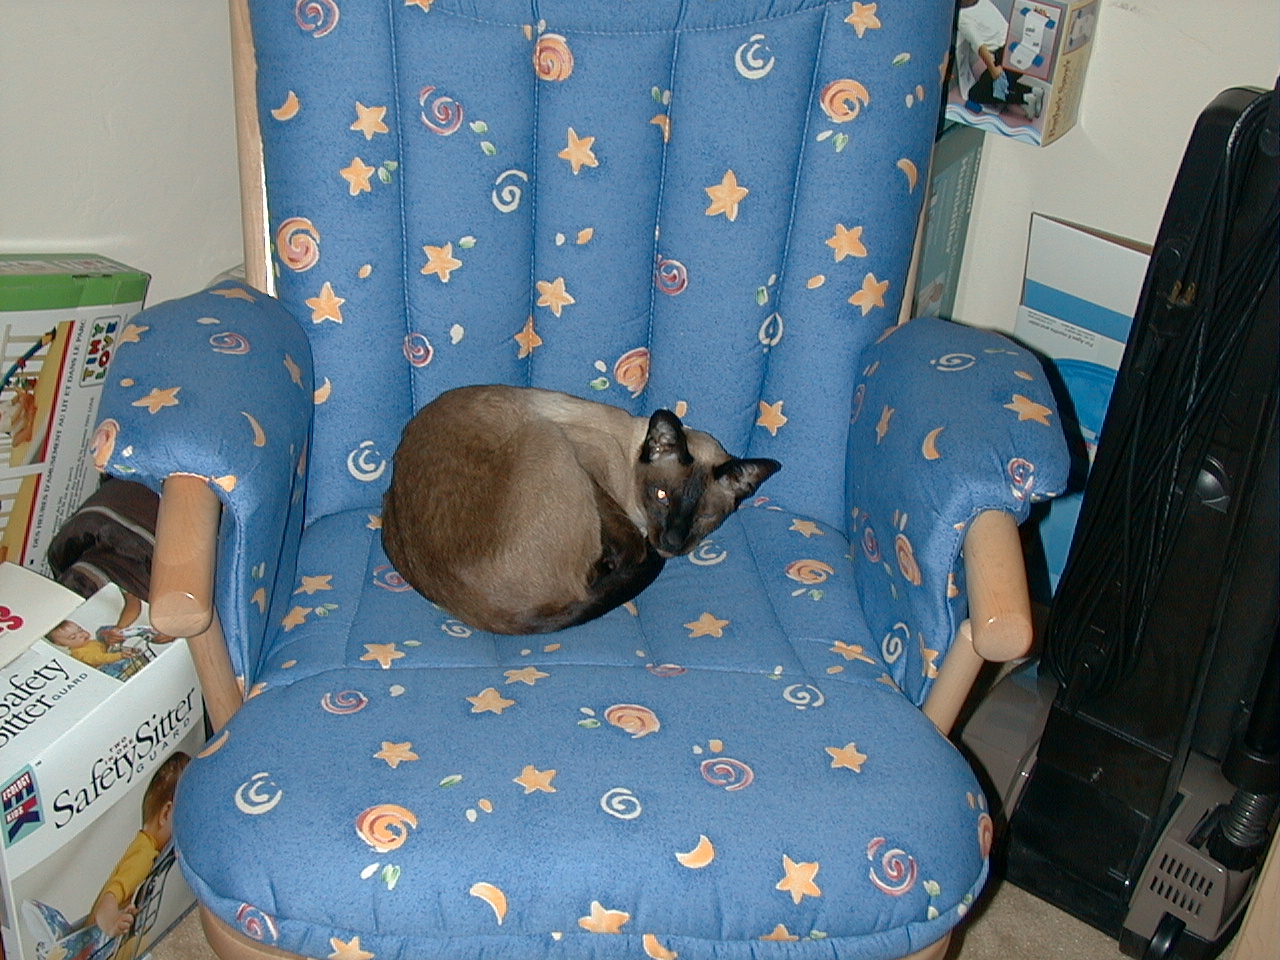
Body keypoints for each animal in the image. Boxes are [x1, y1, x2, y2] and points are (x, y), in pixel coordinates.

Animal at [381, 385, 780, 634]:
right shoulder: (591, 471)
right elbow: (630, 542)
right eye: (662, 495)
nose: (671, 541)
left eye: (705, 517)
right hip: (548, 436)